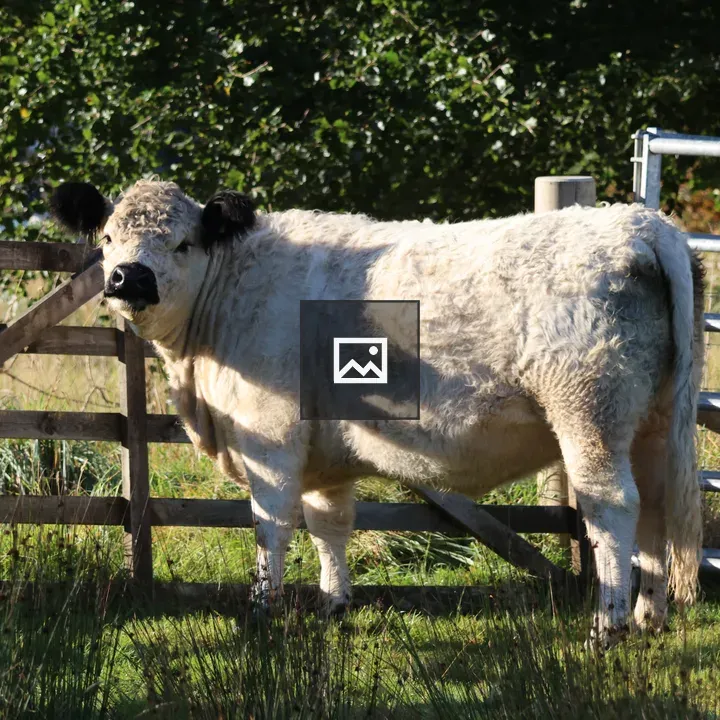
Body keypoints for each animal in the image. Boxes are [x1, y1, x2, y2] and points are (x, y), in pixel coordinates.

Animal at [49, 179, 704, 646]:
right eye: (107, 239)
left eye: (182, 243)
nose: (129, 277)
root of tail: (641, 222)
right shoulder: (323, 453)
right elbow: (330, 524)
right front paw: (333, 606)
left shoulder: (270, 437)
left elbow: (270, 524)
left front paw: (262, 610)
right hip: (651, 422)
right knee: (656, 507)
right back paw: (649, 617)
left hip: (589, 413)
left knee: (612, 508)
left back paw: (608, 626)